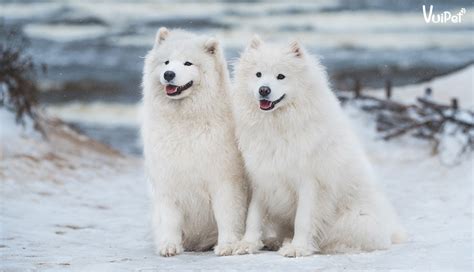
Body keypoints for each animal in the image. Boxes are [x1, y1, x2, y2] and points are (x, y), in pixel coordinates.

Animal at [141, 28, 246, 258]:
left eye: (188, 63)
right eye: (166, 62)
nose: (169, 74)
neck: (185, 122)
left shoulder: (223, 181)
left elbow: (226, 215)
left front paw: (226, 245)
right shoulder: (168, 181)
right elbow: (170, 219)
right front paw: (169, 246)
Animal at [230, 36, 404, 258]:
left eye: (280, 76)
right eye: (258, 74)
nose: (264, 90)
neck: (279, 125)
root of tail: (390, 231)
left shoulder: (310, 182)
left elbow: (303, 220)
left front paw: (298, 248)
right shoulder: (262, 177)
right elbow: (253, 217)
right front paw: (247, 244)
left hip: (354, 219)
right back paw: (275, 241)